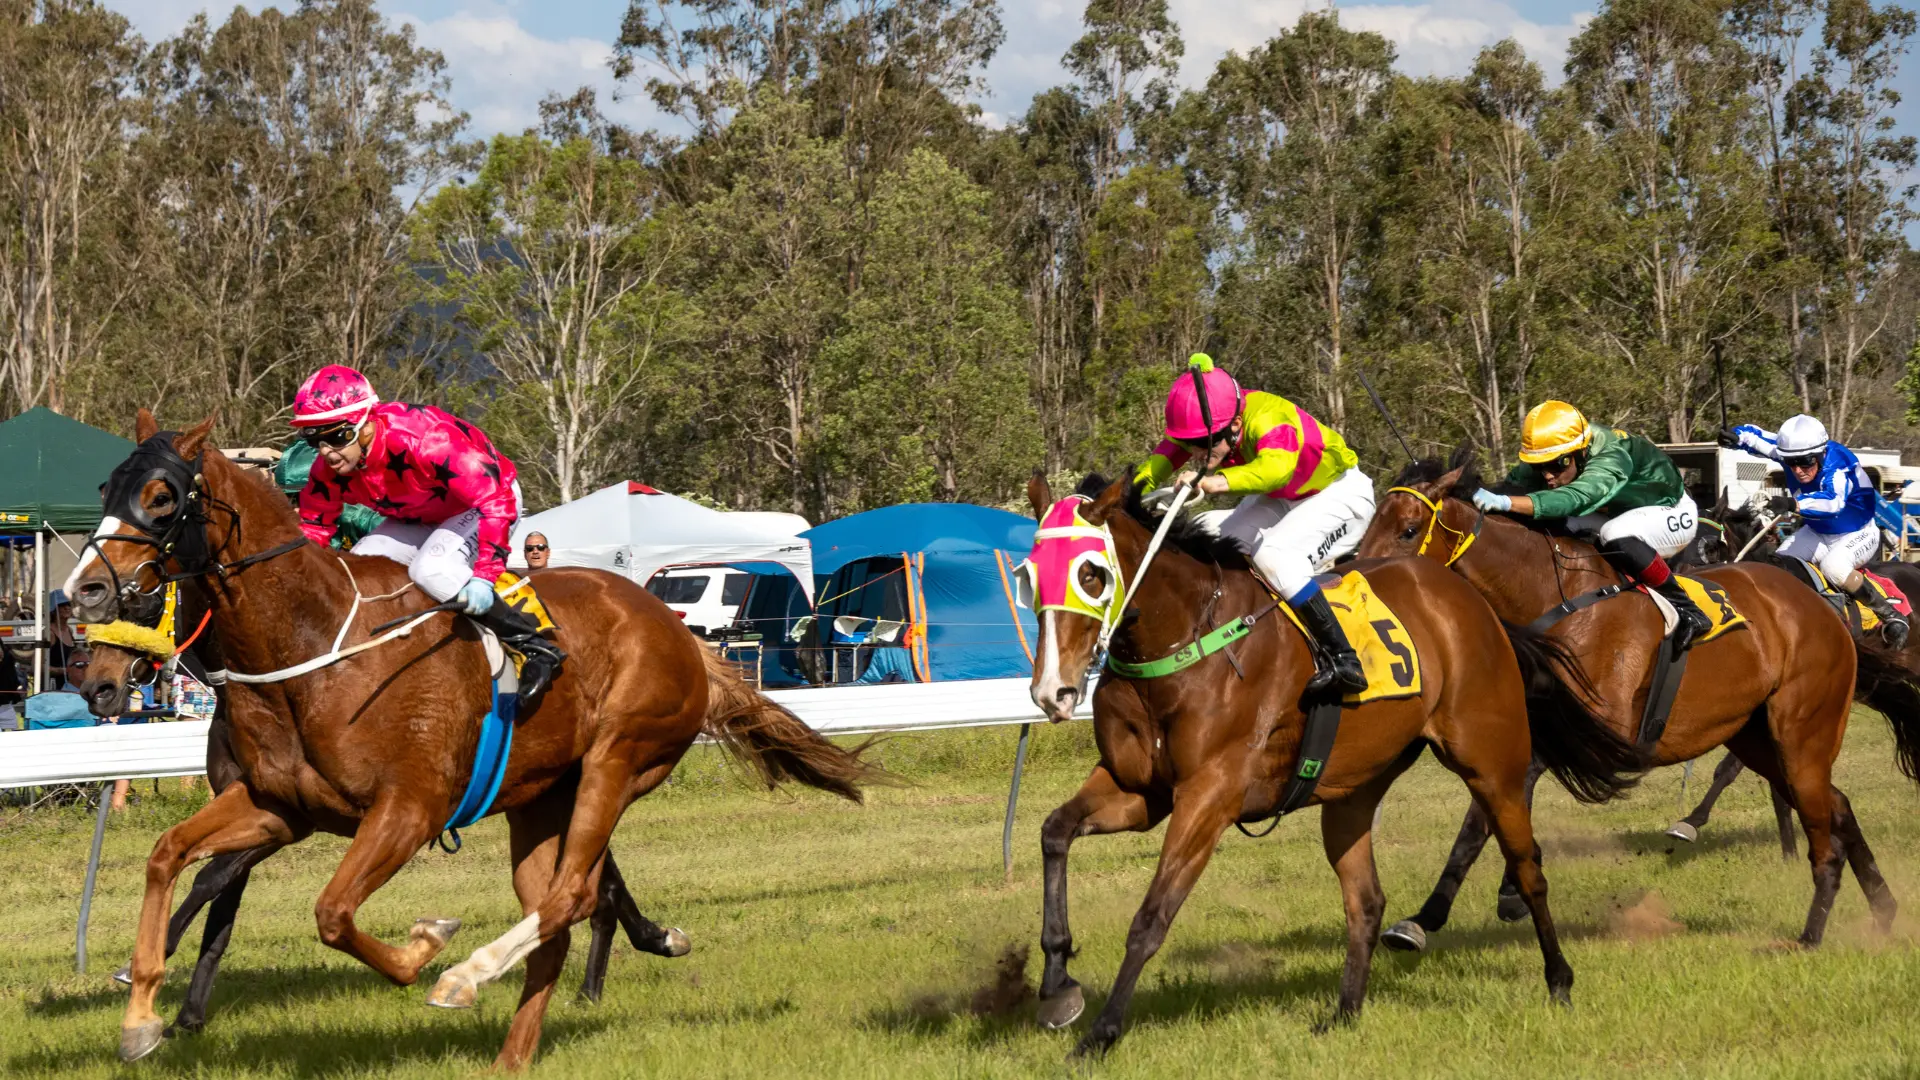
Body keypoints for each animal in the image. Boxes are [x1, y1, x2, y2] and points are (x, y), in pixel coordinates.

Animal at [79, 582, 690, 1038]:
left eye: (140, 601)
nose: (97, 688)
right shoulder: (257, 801)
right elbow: (220, 900)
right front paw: (184, 1010)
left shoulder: (290, 821)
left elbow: (211, 881)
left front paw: (150, 968)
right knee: (601, 877)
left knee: (595, 880)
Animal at [1022, 473, 1642, 1058]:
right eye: (1030, 578)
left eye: (1091, 574)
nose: (1054, 692)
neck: (1186, 638)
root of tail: (1470, 599)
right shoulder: (1139, 789)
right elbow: (1054, 831)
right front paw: (1057, 984)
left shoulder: (1210, 795)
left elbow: (1151, 918)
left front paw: (1101, 1034)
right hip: (1353, 791)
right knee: (1365, 901)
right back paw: (1344, 1012)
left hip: (1492, 764)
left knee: (1528, 867)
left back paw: (1558, 980)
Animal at [1359, 451, 1904, 953]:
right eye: (1369, 524)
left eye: (1408, 530)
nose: (1362, 579)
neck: (1556, 598)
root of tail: (1824, 606)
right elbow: (1485, 815)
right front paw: (1426, 918)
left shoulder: (1598, 730)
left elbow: (1490, 814)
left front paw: (1495, 897)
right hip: (1756, 736)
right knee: (1837, 803)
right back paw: (1883, 908)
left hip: (1801, 729)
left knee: (1822, 808)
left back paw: (1818, 931)